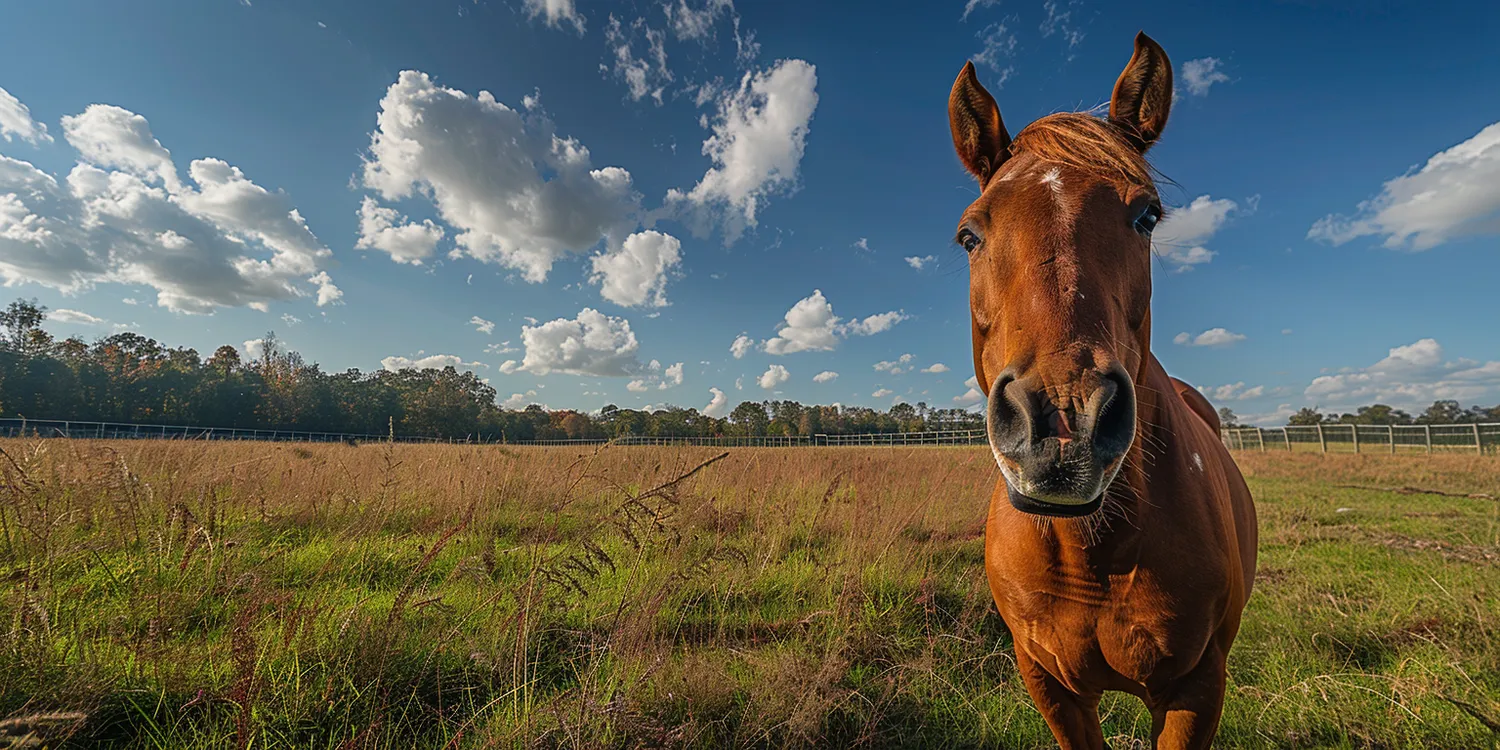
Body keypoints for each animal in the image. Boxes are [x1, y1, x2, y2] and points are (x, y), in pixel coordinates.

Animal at [942, 32, 1260, 747]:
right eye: (969, 234)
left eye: (1146, 216)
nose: (1064, 424)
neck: (1092, 553)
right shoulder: (1050, 683)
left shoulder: (1196, 686)